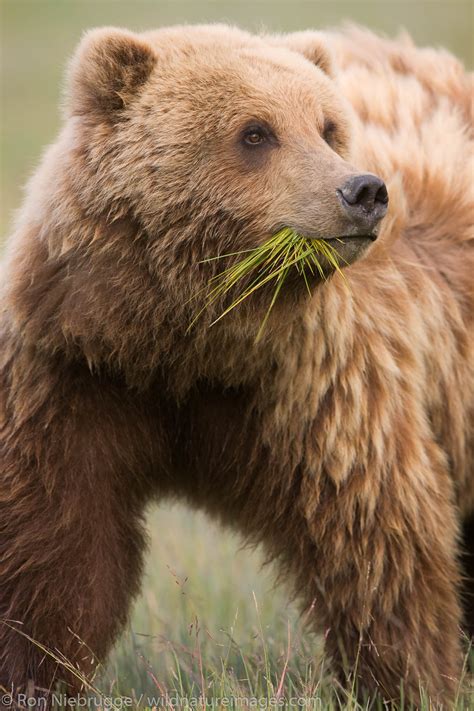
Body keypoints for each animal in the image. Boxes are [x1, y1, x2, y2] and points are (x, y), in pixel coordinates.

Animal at [0, 22, 472, 708]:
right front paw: (35, 675)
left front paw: (408, 682)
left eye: (329, 126)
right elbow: (55, 548)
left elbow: (377, 544)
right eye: (255, 132)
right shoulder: (76, 373)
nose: (364, 191)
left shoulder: (316, 388)